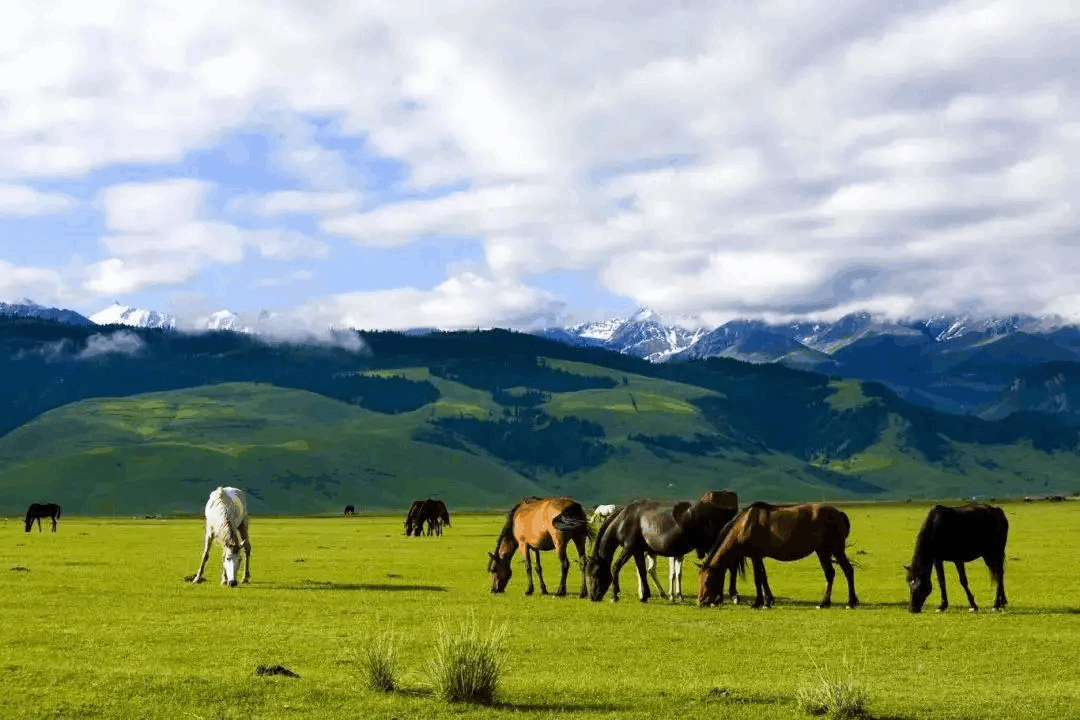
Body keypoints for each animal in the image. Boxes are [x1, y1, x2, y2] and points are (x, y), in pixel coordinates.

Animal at [699, 505, 859, 613]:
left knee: (848, 570)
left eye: (707, 581)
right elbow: (762, 578)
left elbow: (758, 579)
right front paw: (766, 601)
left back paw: (851, 602)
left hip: (836, 548)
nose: (700, 602)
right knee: (830, 573)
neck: (745, 525)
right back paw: (824, 603)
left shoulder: (756, 556)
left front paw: (760, 602)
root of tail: (839, 513)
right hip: (822, 550)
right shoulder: (758, 557)